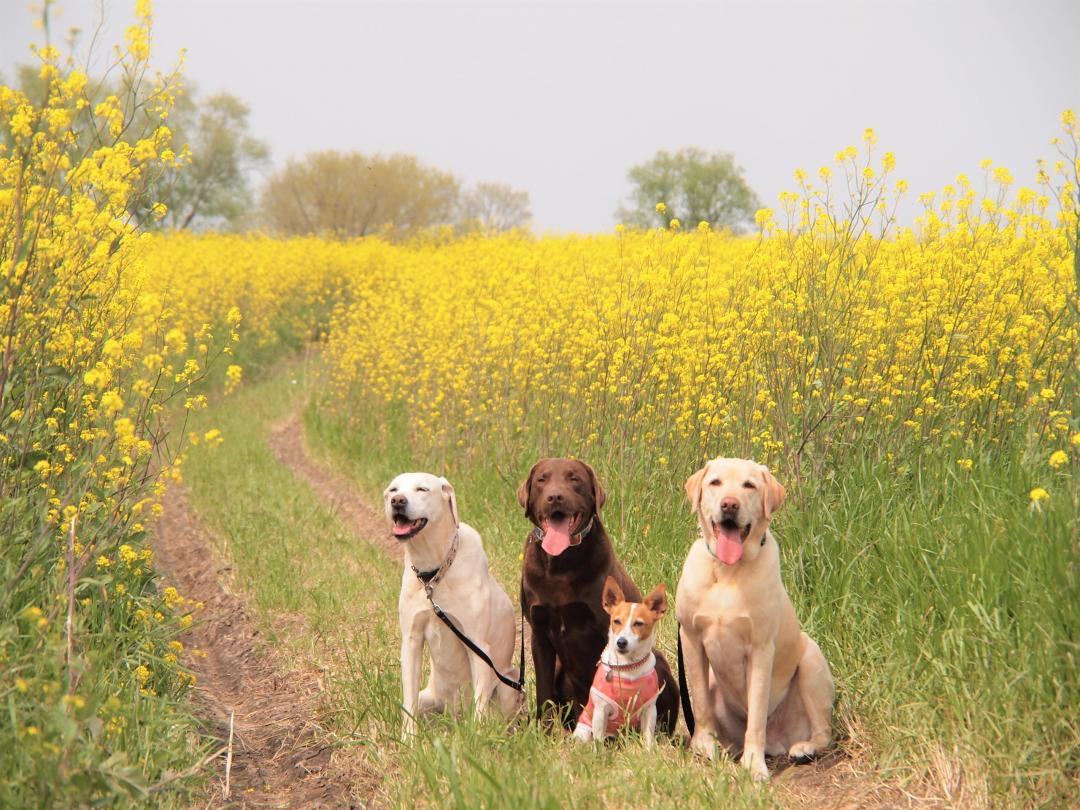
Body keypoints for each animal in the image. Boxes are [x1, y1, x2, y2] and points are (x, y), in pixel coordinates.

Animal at [388, 468, 522, 743]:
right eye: (393, 490)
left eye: (422, 489)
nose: (397, 502)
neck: (434, 572)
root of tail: (453, 715)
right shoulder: (411, 641)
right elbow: (408, 702)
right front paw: (409, 741)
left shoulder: (477, 645)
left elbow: (480, 707)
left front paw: (475, 741)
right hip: (429, 698)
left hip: (508, 684)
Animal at [673, 457, 833, 781]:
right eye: (716, 482)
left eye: (749, 485)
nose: (729, 505)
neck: (727, 571)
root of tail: (778, 742)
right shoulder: (691, 640)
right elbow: (700, 703)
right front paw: (704, 747)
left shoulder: (761, 649)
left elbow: (757, 714)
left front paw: (754, 765)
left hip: (811, 658)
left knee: (824, 731)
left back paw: (804, 748)